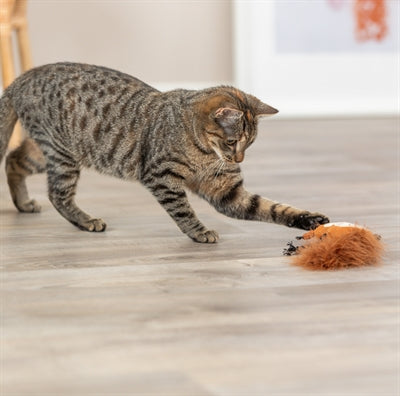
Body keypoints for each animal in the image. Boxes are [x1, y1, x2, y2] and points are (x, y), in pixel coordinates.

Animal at [0, 62, 330, 241]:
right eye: (232, 142)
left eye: (248, 144)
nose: (239, 158)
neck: (205, 153)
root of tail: (20, 79)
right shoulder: (161, 177)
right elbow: (183, 210)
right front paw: (198, 231)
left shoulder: (227, 191)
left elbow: (272, 208)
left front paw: (309, 219)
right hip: (62, 154)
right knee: (57, 193)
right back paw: (85, 220)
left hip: (49, 151)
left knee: (13, 160)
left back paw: (23, 203)